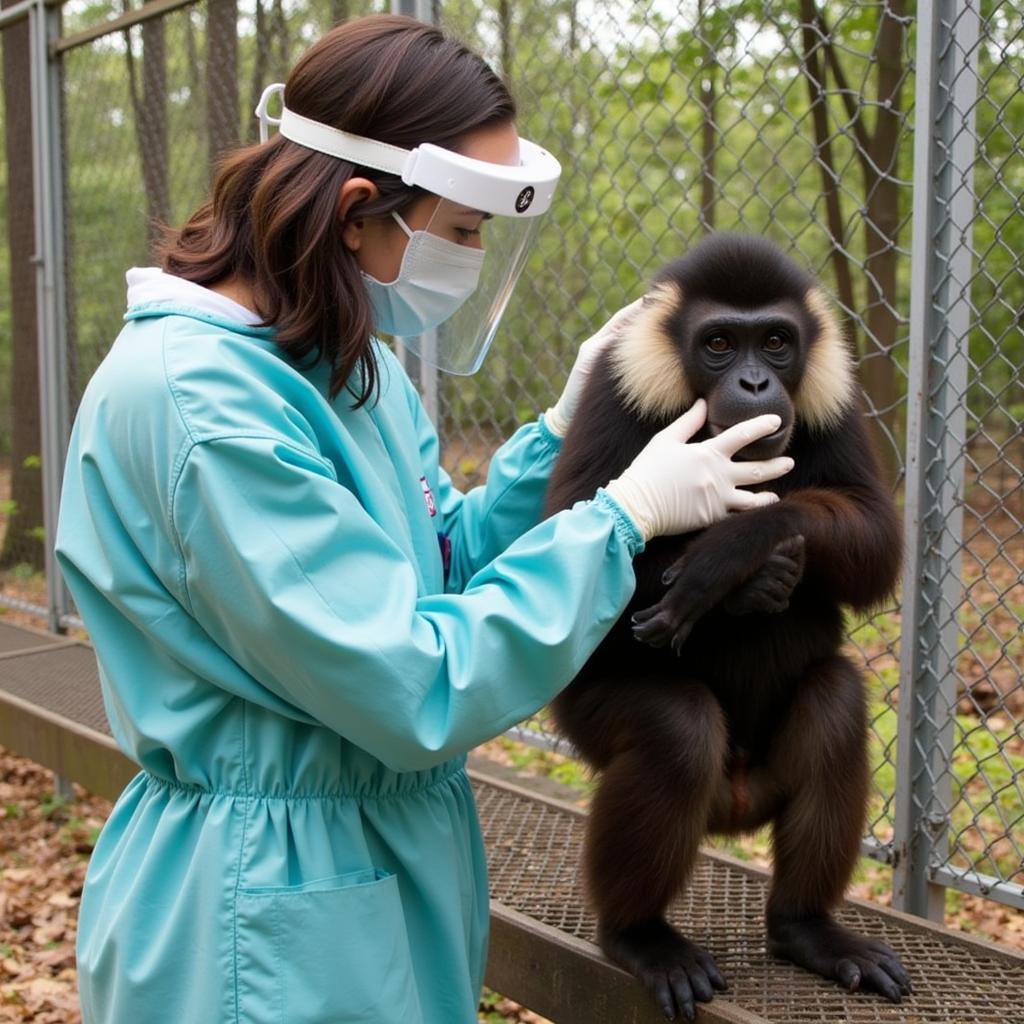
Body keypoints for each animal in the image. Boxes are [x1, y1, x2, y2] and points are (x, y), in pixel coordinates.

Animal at [548, 235, 909, 1019]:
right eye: (718, 344)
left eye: (775, 342)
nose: (751, 382)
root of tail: (736, 801)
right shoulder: (614, 388)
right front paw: (741, 580)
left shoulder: (834, 397)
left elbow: (877, 538)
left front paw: (735, 554)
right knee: (676, 732)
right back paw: (640, 937)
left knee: (836, 702)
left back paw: (807, 930)